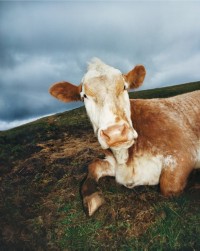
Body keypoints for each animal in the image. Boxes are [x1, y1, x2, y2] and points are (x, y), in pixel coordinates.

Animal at [48, 57, 200, 216]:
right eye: (84, 96)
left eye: (124, 87)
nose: (115, 133)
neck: (128, 160)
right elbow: (93, 165)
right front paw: (92, 198)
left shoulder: (183, 152)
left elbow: (169, 186)